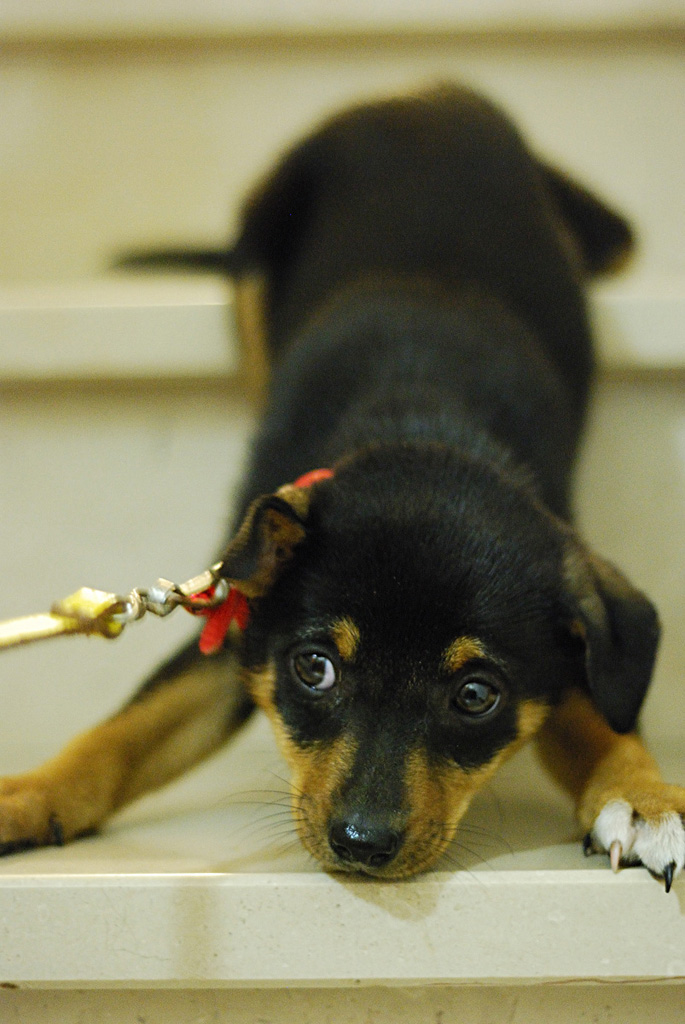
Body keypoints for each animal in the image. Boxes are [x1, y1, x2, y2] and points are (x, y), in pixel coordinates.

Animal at [1, 84, 683, 887]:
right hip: (263, 231)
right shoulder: (240, 622)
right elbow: (125, 730)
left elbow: (603, 720)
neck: (426, 418)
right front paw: (26, 795)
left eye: (476, 696)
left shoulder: (564, 651)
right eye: (315, 668)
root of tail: (419, 92)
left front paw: (645, 800)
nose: (361, 844)